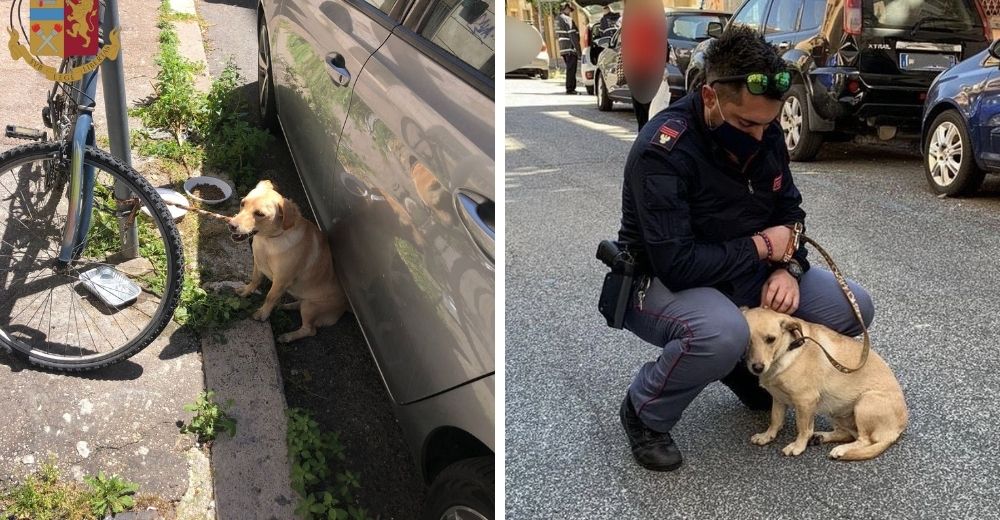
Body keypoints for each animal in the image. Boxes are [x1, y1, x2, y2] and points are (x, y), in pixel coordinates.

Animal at [229, 181, 348, 344]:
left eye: (260, 214)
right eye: (242, 203)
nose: (231, 225)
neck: (268, 241)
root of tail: (347, 305)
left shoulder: (281, 280)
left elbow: (270, 297)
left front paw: (263, 314)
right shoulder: (258, 265)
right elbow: (255, 281)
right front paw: (247, 291)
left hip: (310, 307)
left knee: (310, 330)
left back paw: (288, 336)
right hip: (305, 303)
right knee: (299, 305)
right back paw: (286, 306)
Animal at [744, 306, 908, 462]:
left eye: (771, 339)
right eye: (748, 341)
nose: (757, 367)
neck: (787, 351)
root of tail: (895, 431)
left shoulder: (805, 401)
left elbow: (803, 428)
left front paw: (798, 446)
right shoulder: (778, 398)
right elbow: (775, 420)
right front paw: (766, 436)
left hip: (864, 402)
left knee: (864, 440)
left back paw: (841, 450)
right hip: (836, 410)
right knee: (848, 434)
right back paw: (820, 437)